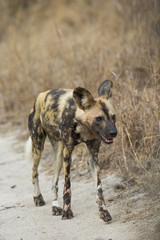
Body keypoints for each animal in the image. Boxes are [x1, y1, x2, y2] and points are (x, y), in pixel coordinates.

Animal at [27, 80, 117, 221]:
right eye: (99, 118)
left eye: (114, 117)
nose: (114, 133)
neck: (82, 124)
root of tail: (40, 95)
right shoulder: (68, 152)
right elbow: (67, 187)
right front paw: (67, 211)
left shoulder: (93, 156)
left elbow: (99, 187)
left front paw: (103, 211)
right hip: (38, 145)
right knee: (34, 171)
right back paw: (38, 197)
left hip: (58, 153)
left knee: (54, 182)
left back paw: (55, 206)